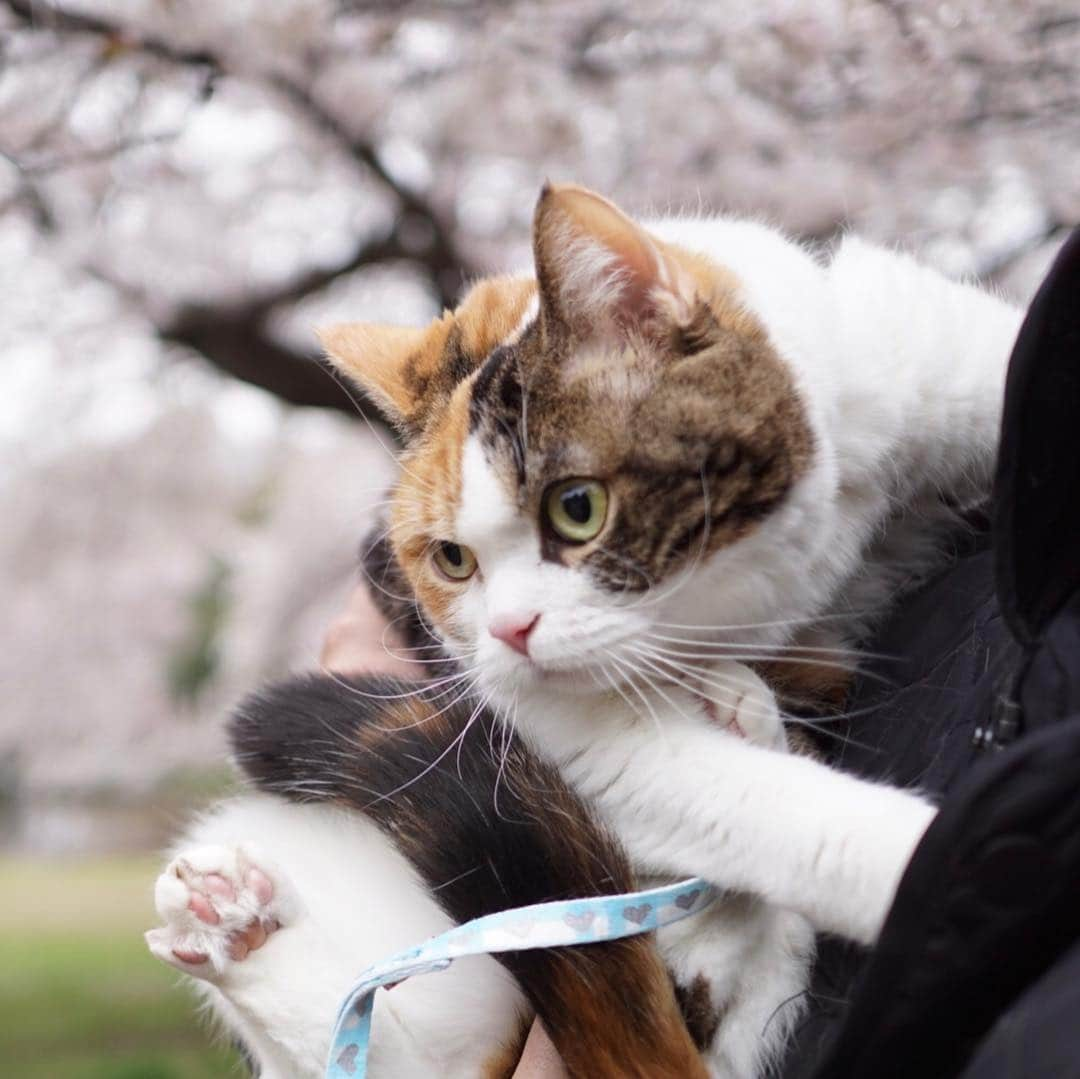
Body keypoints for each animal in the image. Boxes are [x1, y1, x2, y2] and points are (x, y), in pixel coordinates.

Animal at [147, 181, 1023, 1075]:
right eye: (453, 559)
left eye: (578, 508)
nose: (509, 631)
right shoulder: (539, 707)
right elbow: (754, 806)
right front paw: (928, 851)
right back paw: (239, 926)